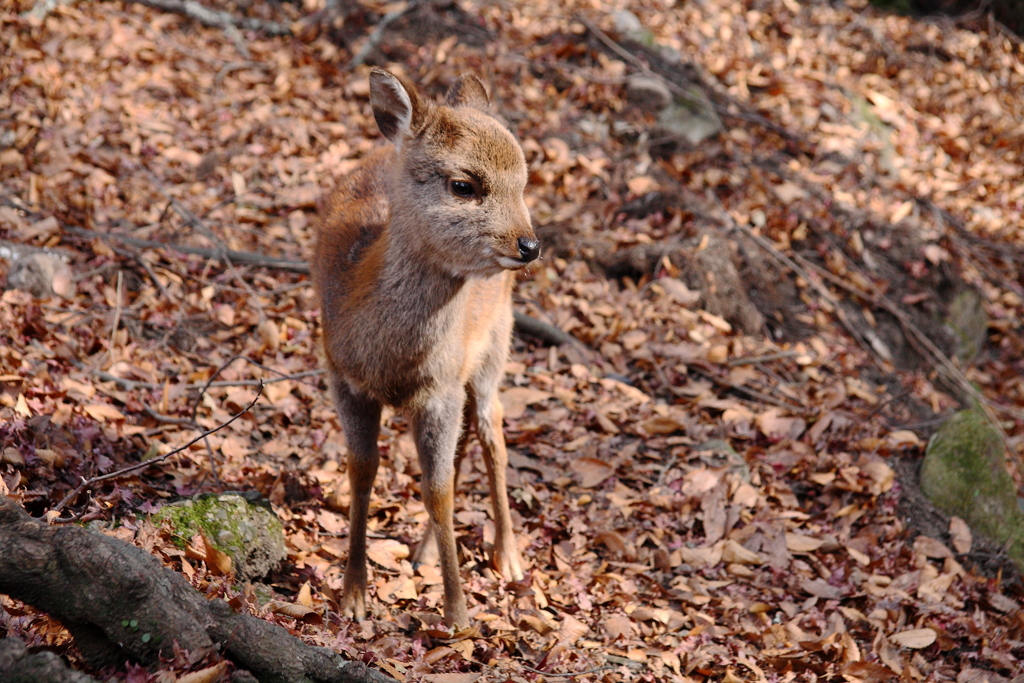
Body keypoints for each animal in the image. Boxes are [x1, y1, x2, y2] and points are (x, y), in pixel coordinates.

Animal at [309, 70, 536, 630]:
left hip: (495, 344)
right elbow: (362, 470)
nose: (529, 245)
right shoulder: (342, 377)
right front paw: (353, 594)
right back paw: (425, 552)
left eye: (523, 182)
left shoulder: (441, 388)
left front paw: (457, 614)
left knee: (492, 433)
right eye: (463, 185)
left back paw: (507, 555)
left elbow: (438, 489)